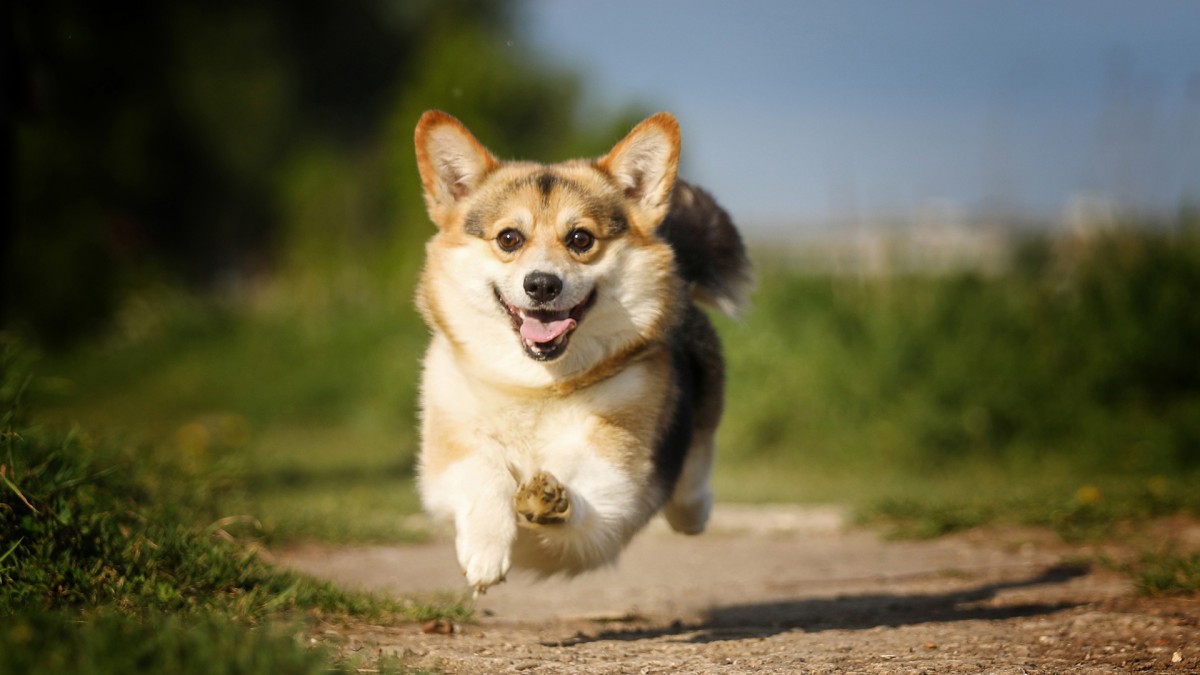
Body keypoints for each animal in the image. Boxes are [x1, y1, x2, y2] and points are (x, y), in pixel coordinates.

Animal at [412, 111, 748, 593]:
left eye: (580, 239)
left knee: (691, 484)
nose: (541, 285)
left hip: (699, 425)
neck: (535, 386)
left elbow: (586, 482)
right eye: (509, 238)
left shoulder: (616, 477)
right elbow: (484, 470)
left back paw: (693, 508)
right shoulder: (448, 453)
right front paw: (486, 550)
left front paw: (551, 499)